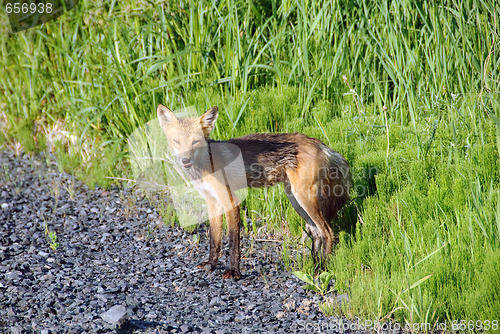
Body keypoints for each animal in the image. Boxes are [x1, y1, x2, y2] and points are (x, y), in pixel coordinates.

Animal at [158, 104, 350, 280]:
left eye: (195, 142)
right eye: (176, 141)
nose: (185, 160)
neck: (206, 164)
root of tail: (321, 144)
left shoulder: (231, 200)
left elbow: (233, 241)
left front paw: (234, 272)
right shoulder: (212, 201)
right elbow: (215, 239)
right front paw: (211, 264)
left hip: (305, 198)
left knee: (328, 232)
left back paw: (322, 270)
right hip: (296, 200)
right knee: (317, 233)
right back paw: (314, 266)